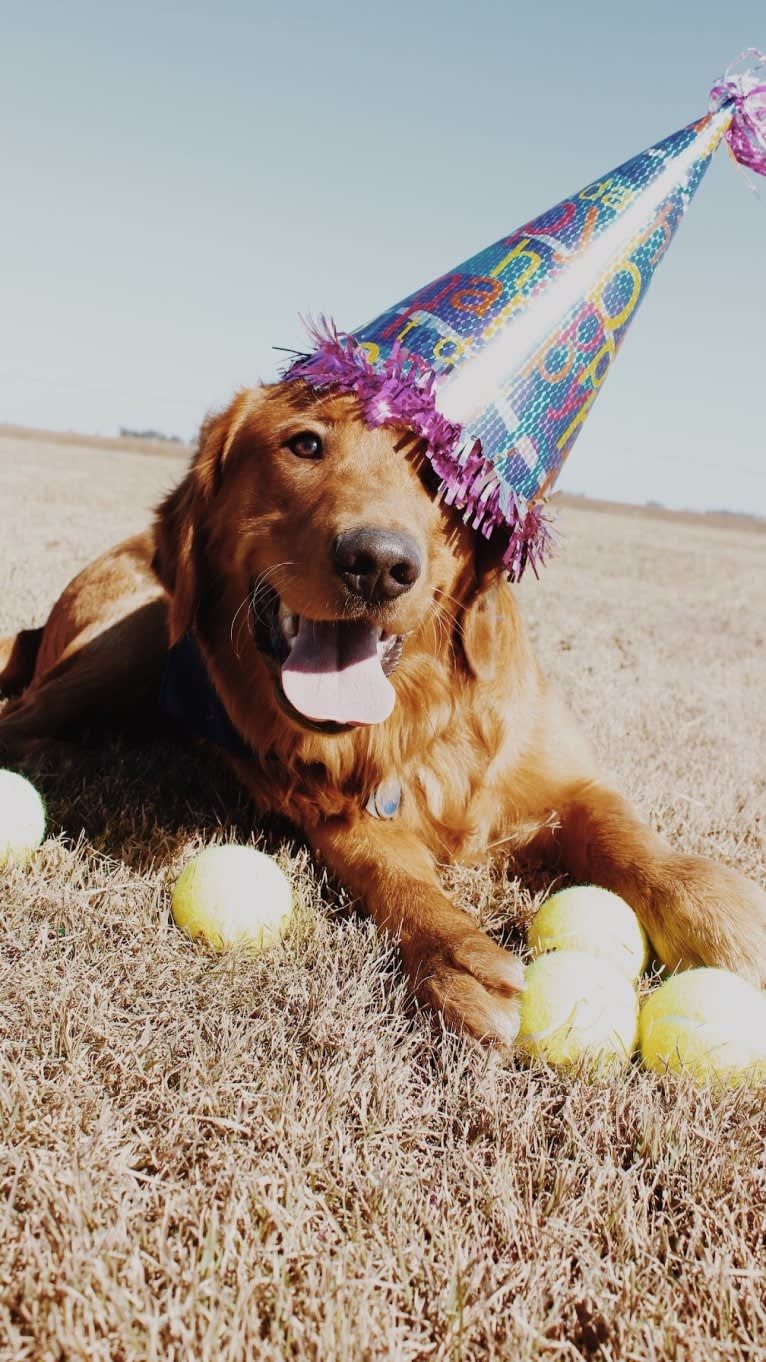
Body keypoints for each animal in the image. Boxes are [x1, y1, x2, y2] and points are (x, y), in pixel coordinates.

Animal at [1, 389, 763, 1046]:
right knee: (21, 712)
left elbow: (628, 837)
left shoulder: (570, 779)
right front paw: (459, 958)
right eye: (305, 443)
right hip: (140, 631)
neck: (420, 725)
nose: (378, 562)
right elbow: (397, 879)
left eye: (439, 479)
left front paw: (718, 914)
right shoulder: (336, 817)